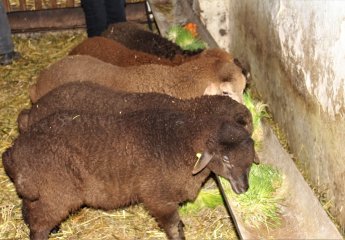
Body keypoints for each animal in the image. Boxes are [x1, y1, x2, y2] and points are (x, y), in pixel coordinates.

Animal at [2, 107, 255, 240]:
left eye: (251, 158)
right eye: (225, 158)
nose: (244, 188)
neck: (181, 141)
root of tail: (14, 152)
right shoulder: (158, 197)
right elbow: (173, 226)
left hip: (41, 193)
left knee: (29, 209)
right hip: (57, 193)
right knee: (38, 225)